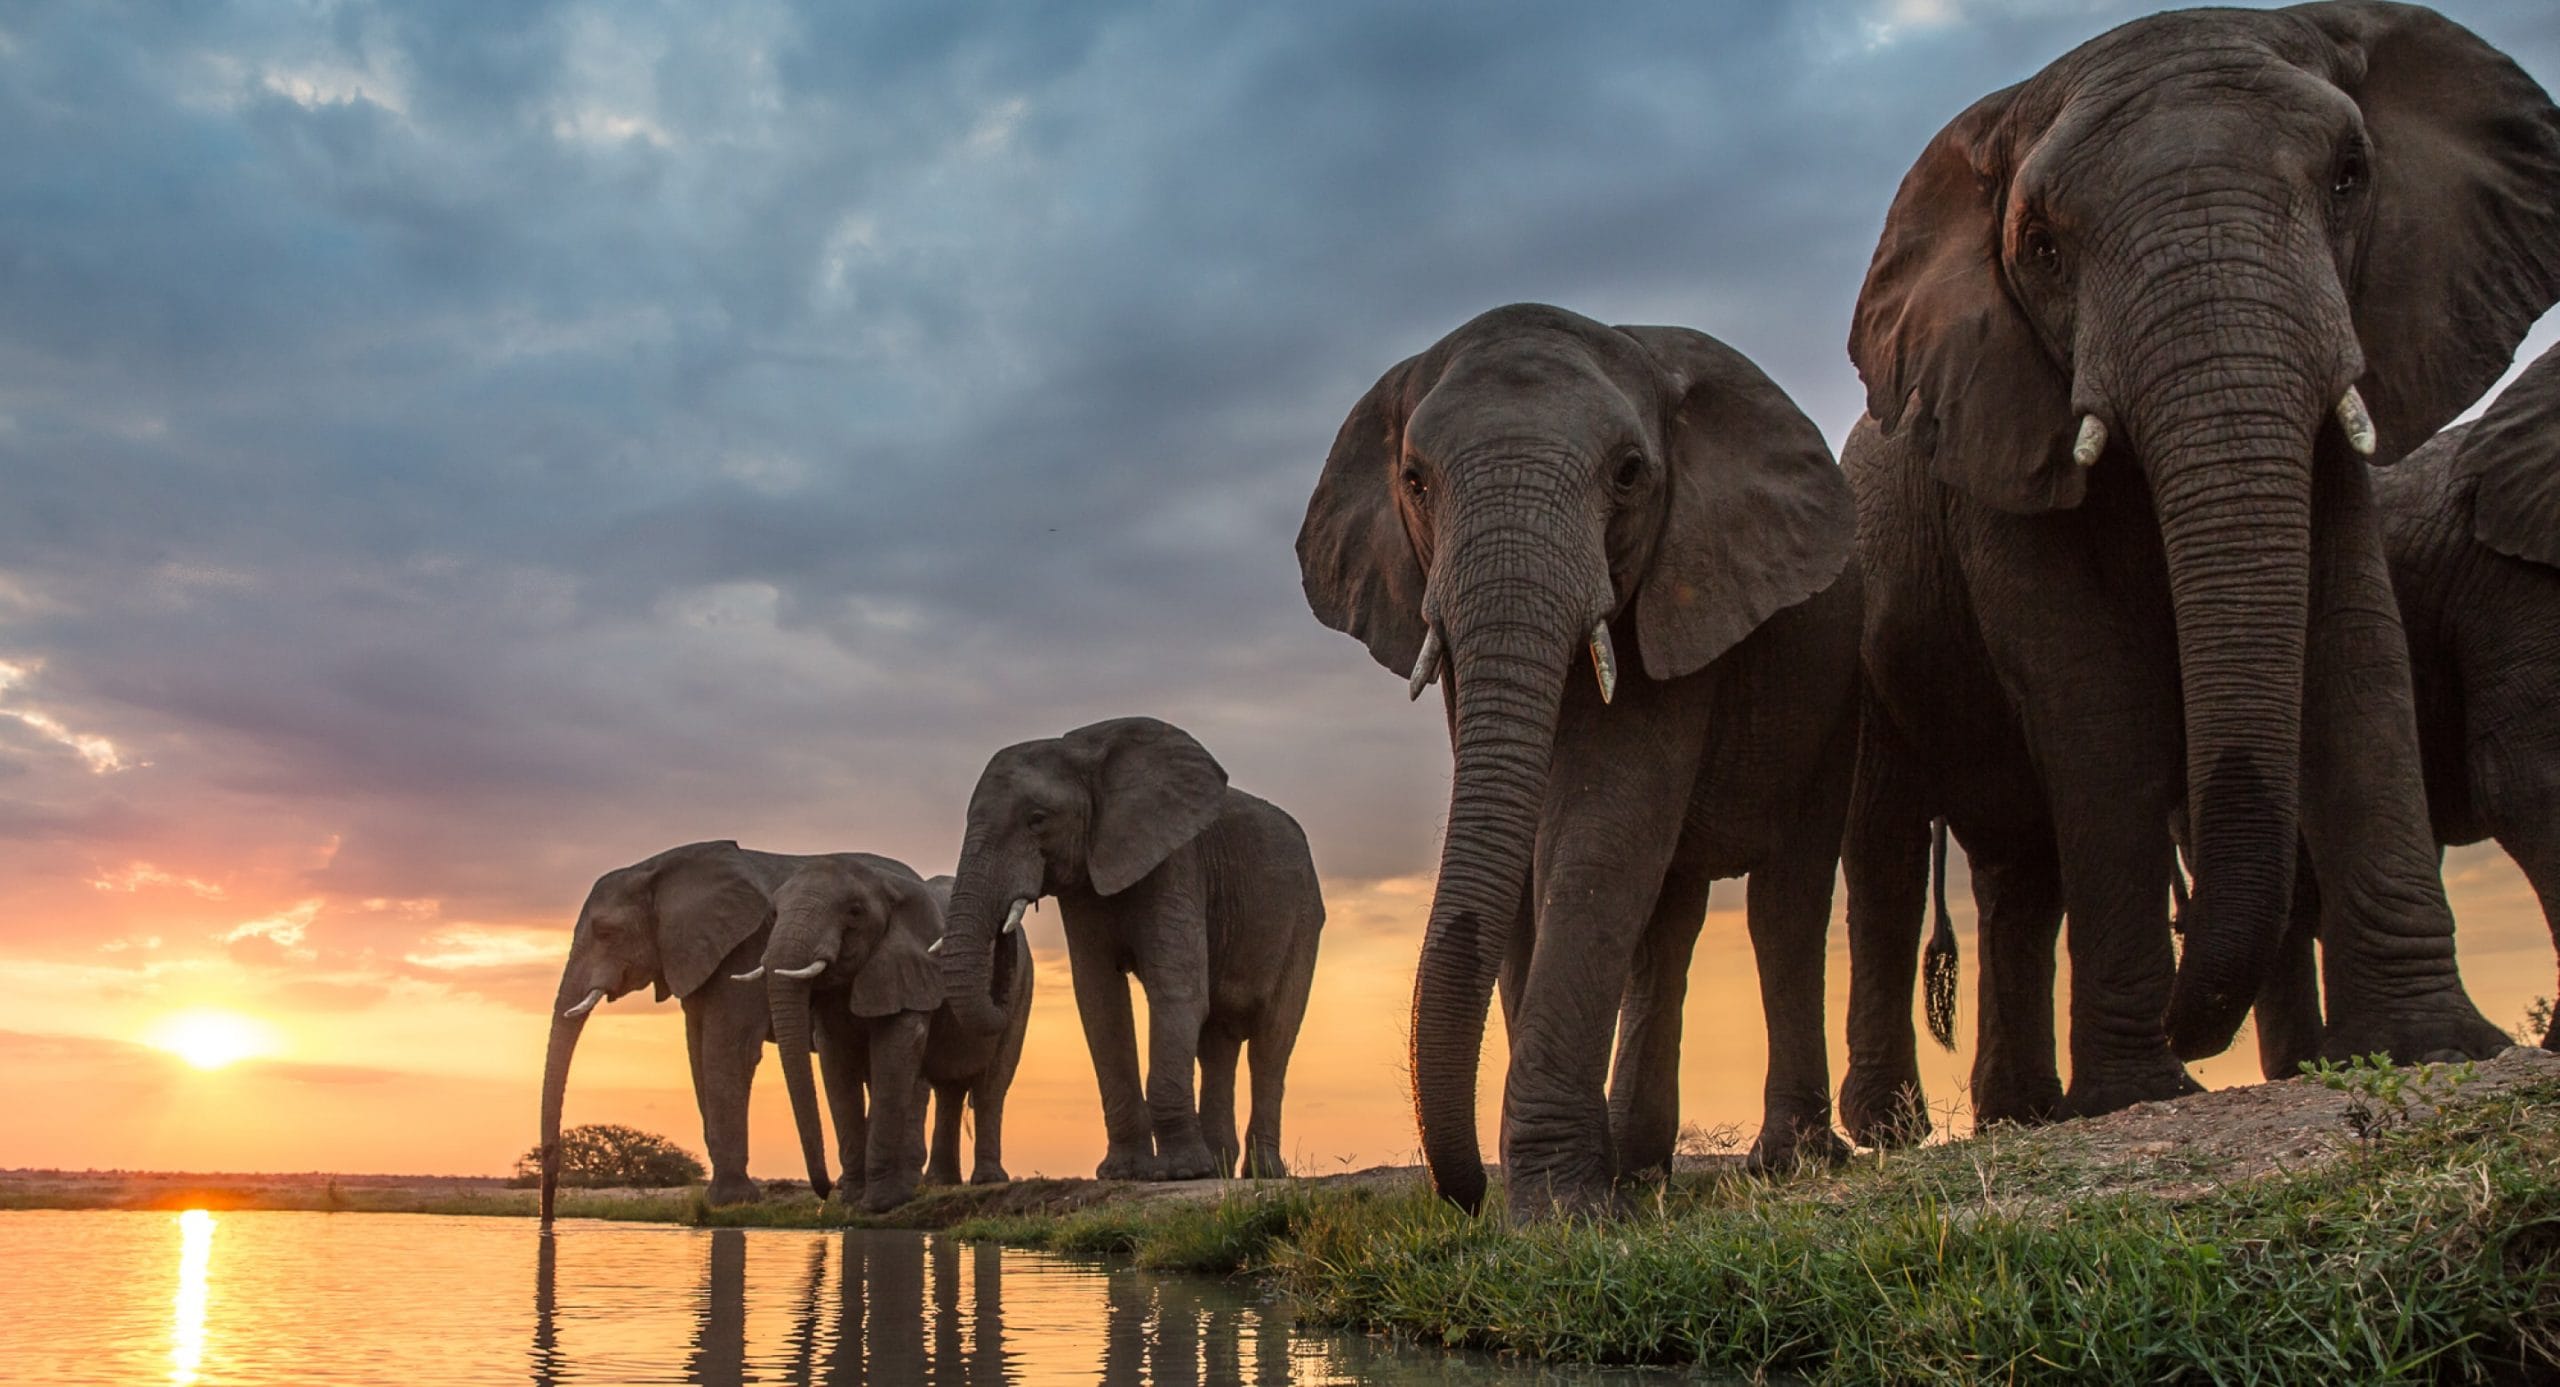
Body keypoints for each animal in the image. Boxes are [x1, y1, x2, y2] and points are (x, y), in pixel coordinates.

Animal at [537, 840, 805, 1219]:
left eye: (606, 932)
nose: (547, 1216)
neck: (659, 870)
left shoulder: (746, 948)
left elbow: (728, 1051)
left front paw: (730, 1201)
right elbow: (698, 1050)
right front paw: (723, 1199)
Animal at [744, 858, 1033, 1210]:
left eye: (855, 912)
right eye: (773, 915)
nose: (825, 1191)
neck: (885, 885)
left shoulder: (911, 969)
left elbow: (893, 1059)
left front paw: (879, 1203)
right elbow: (836, 1066)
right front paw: (853, 1201)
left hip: (1022, 989)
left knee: (992, 1084)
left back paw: (988, 1180)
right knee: (949, 1089)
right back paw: (939, 1182)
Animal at [933, 716, 1324, 1182]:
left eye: (1037, 819)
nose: (1008, 925)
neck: (1087, 756)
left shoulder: (1176, 863)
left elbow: (1176, 991)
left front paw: (1179, 1173)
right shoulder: (1085, 884)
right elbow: (1100, 1001)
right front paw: (1125, 1172)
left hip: (1303, 917)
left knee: (1272, 1040)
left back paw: (1259, 1173)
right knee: (1217, 1043)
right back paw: (1218, 1168)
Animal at [1297, 302, 1862, 1217]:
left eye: (1629, 474)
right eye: (1415, 480)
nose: (1466, 1194)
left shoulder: (1678, 578)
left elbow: (1601, 829)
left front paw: (1561, 1210)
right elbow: (1526, 850)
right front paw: (1575, 1195)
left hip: (1835, 683)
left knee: (1788, 899)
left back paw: (1790, 1160)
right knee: (1669, 925)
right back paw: (1640, 1170)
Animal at [1835, 2, 2559, 1146]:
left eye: (2350, 175)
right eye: (2040, 247)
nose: (2190, 1014)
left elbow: (2354, 647)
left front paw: (2435, 1046)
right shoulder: (1998, 458)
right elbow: (2093, 702)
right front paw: (2138, 1092)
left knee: (2021, 875)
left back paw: (2022, 1115)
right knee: (1888, 854)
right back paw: (1899, 1130)